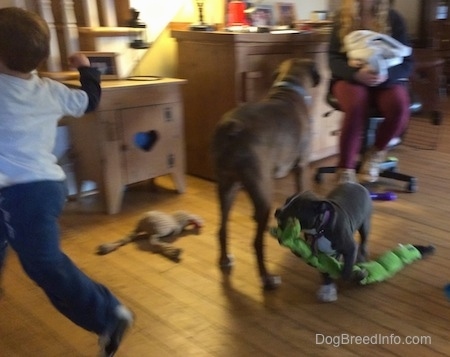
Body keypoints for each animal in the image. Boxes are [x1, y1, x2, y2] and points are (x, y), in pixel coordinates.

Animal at [211, 57, 320, 290]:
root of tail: (232, 126)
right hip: (260, 194)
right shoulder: (301, 166)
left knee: (222, 228)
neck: (289, 89)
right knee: (256, 242)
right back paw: (267, 279)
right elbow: (301, 190)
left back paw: (224, 260)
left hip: (228, 187)